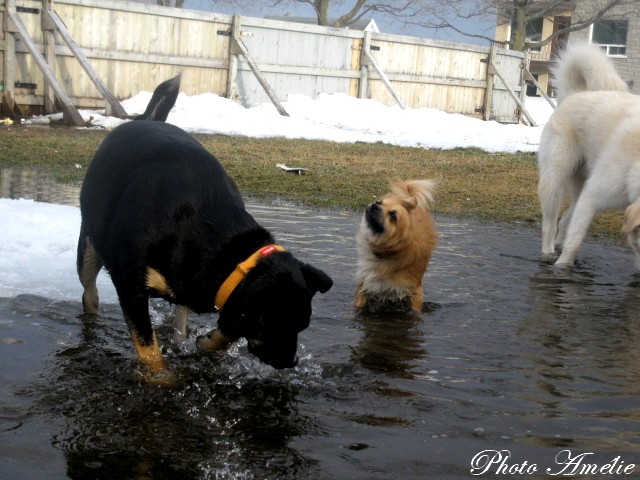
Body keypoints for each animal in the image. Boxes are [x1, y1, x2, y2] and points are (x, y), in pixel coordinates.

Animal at [77, 75, 332, 376]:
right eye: (270, 325)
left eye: (302, 327)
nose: (290, 362)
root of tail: (146, 119)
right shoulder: (131, 288)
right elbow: (149, 349)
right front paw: (163, 378)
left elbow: (226, 329)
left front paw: (206, 344)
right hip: (89, 246)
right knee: (89, 292)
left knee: (178, 322)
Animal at [352, 180, 438, 312]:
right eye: (379, 202)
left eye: (393, 216)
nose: (375, 205)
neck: (384, 253)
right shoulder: (365, 282)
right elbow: (359, 302)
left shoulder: (414, 290)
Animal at [536, 43, 640, 268]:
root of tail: (576, 93)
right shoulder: (592, 197)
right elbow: (574, 243)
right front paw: (562, 268)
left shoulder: (590, 198)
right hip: (555, 180)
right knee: (550, 223)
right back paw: (548, 253)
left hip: (579, 187)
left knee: (565, 219)